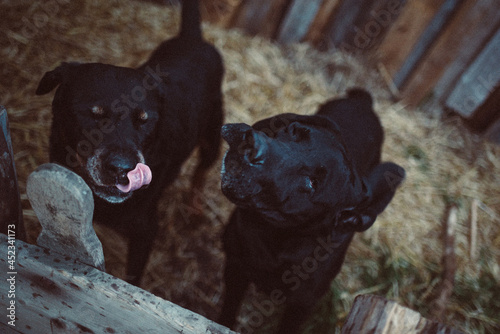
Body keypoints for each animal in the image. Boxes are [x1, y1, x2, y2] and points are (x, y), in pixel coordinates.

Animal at [35, 0, 223, 288]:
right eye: (93, 114)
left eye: (145, 120)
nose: (123, 169)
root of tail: (193, 38)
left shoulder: (145, 232)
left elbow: (132, 279)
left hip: (213, 135)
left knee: (202, 171)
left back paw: (195, 208)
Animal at [219, 89, 406, 334]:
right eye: (292, 130)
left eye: (312, 183)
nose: (254, 144)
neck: (275, 239)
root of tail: (363, 101)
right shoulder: (236, 269)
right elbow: (228, 312)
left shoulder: (301, 305)